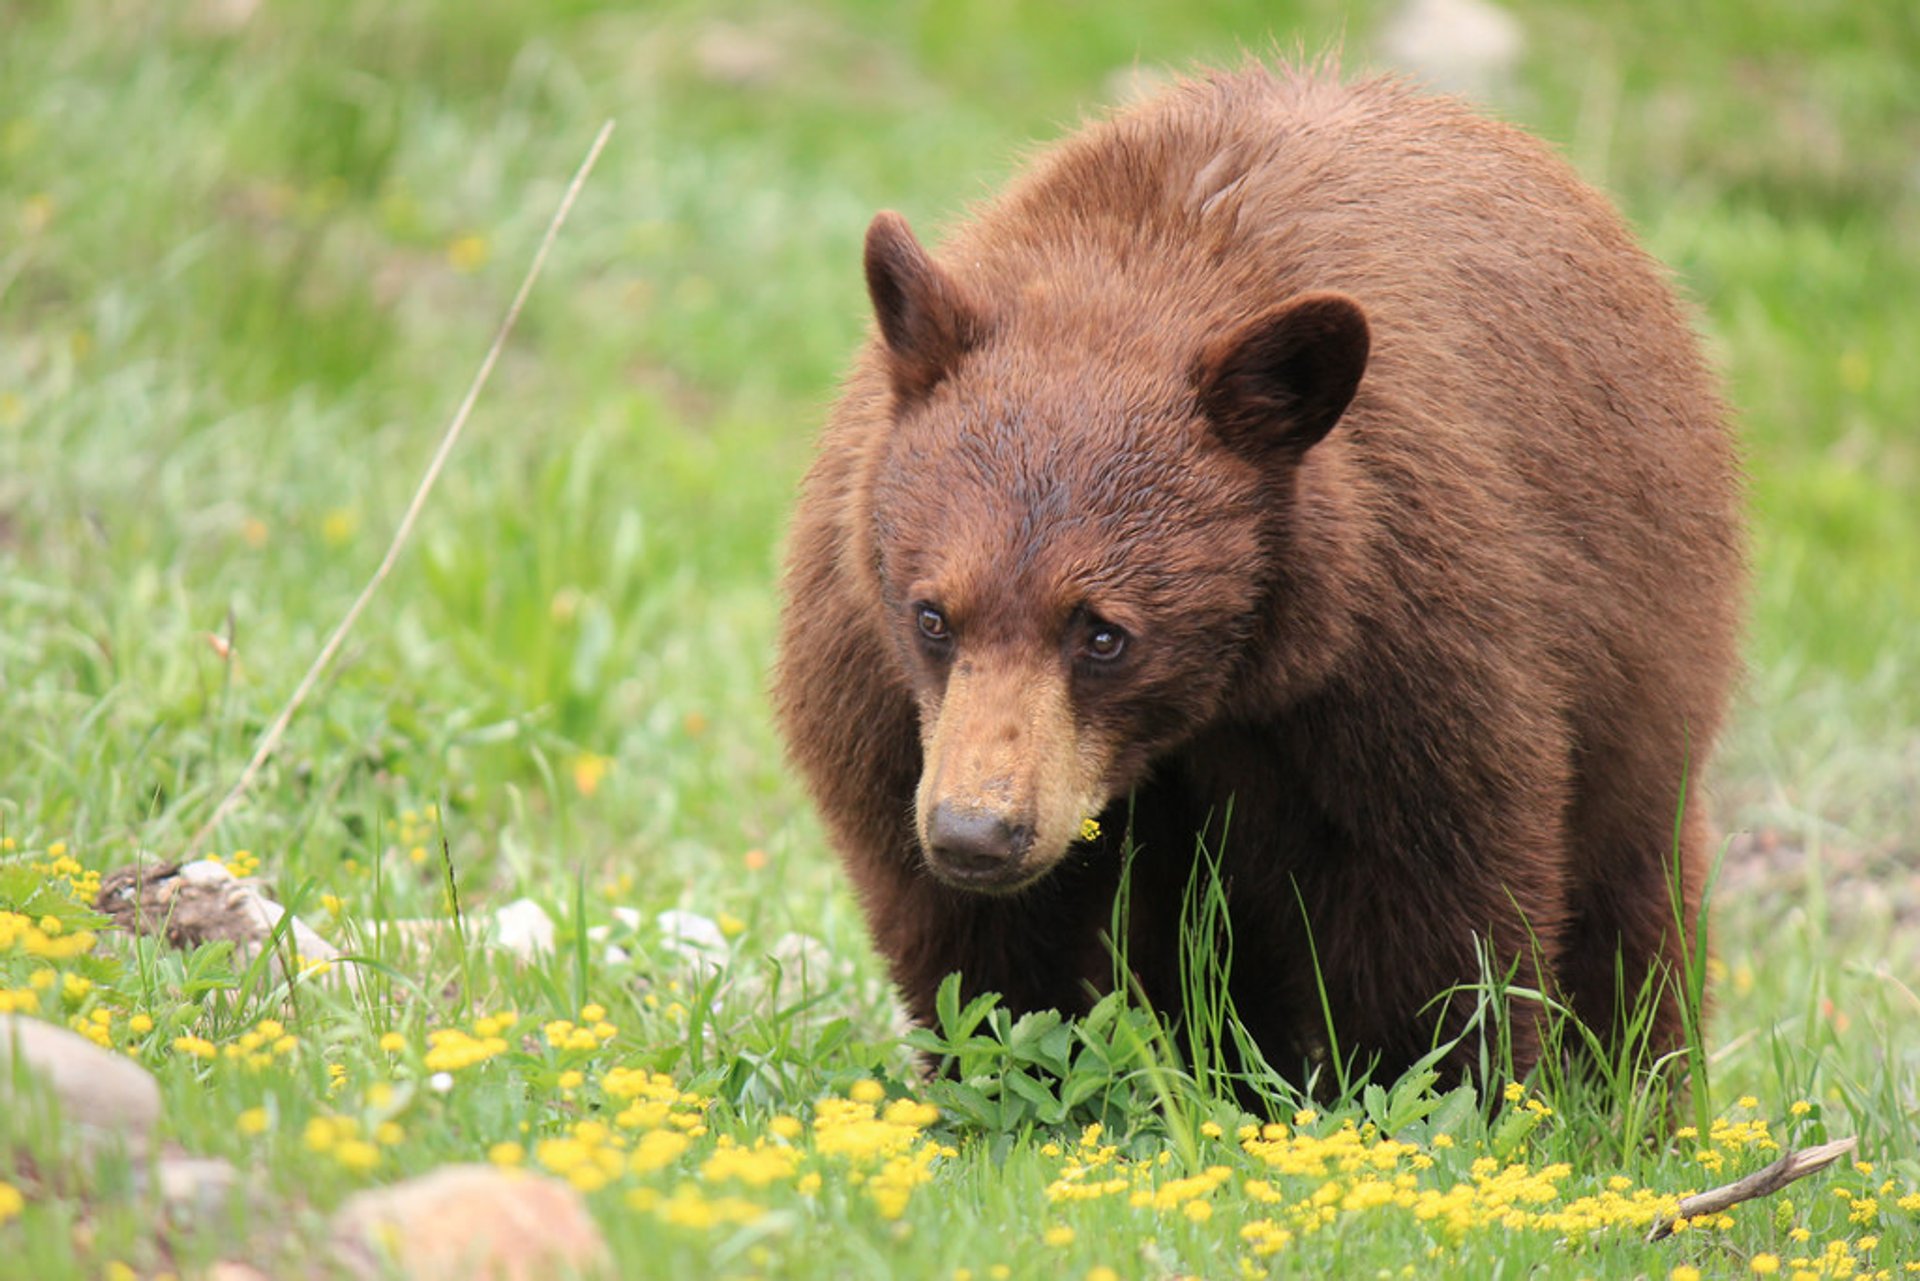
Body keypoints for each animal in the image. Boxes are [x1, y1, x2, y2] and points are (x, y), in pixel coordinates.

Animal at [771, 62, 1751, 1090]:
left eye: (1106, 633)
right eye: (932, 616)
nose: (976, 832)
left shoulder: (1408, 642)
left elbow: (1441, 917)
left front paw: (1445, 1094)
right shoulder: (882, 688)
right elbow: (980, 952)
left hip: (1643, 646)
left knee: (1629, 887)